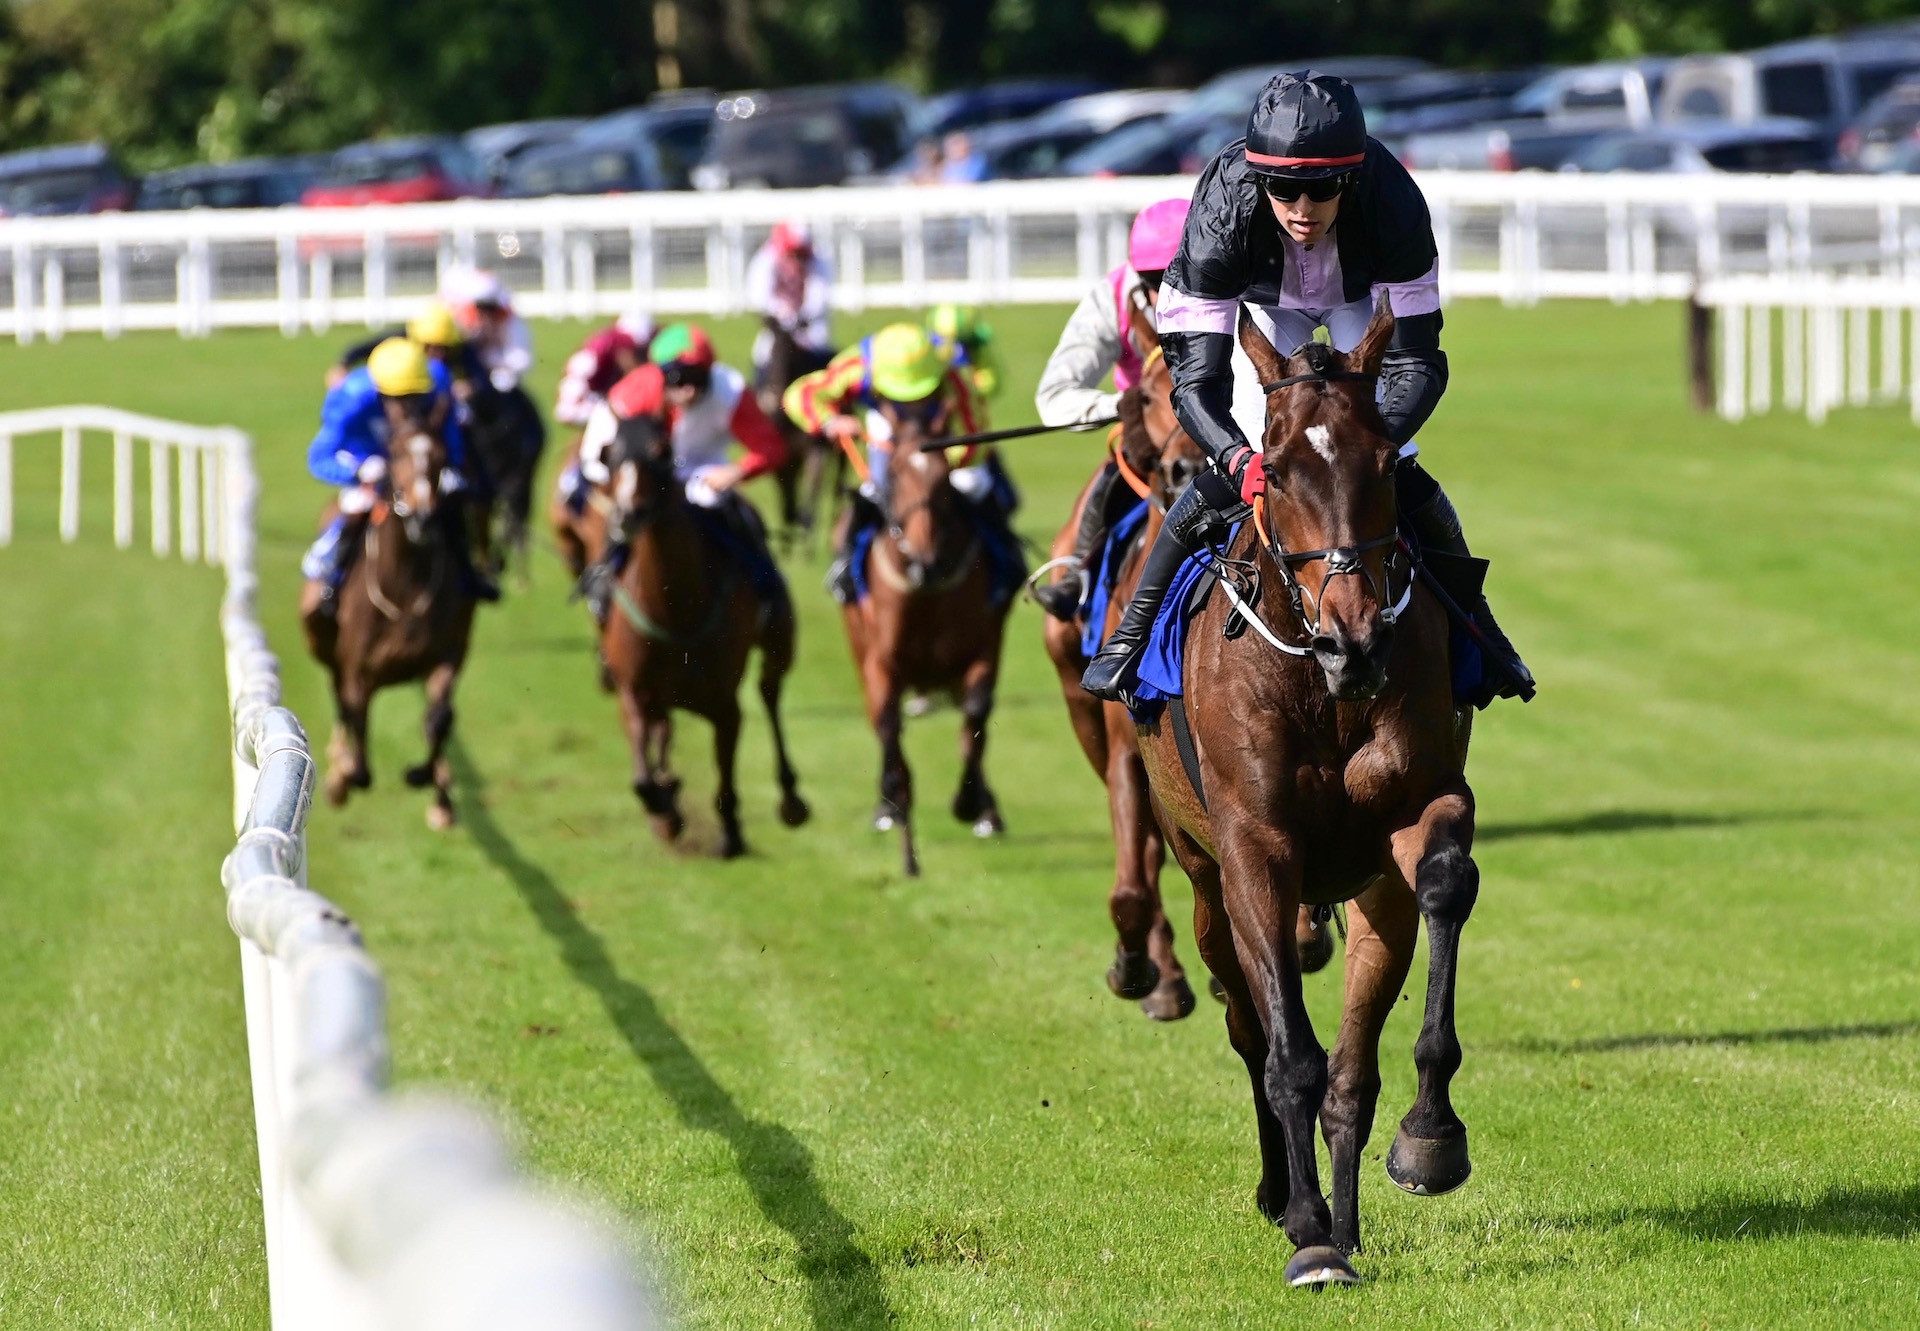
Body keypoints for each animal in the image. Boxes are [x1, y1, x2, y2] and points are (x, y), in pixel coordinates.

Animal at [303, 397, 480, 829]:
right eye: (395, 452)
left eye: (441, 456)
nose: (421, 515)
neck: (406, 587)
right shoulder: (358, 670)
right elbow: (358, 737)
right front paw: (344, 775)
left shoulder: (446, 656)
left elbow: (439, 718)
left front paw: (431, 785)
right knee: (340, 701)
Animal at [599, 411, 810, 856]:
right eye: (609, 455)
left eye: (662, 450)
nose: (627, 516)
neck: (674, 608)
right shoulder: (632, 690)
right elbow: (642, 778)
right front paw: (665, 809)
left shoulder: (724, 702)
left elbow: (726, 768)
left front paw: (730, 831)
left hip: (778, 643)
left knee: (770, 694)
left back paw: (791, 798)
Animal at [844, 411, 1013, 875]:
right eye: (896, 474)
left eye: (944, 479)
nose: (925, 563)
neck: (928, 593)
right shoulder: (882, 665)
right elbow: (889, 734)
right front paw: (905, 844)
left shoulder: (982, 651)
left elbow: (975, 720)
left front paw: (970, 802)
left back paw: (987, 809)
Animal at [1044, 297, 1344, 1014]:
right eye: (1147, 395)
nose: (1183, 468)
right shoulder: (1130, 752)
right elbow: (1134, 881)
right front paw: (1139, 968)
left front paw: (1301, 935)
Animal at [1136, 295, 1482, 1282]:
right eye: (1279, 470)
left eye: (1385, 464)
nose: (1353, 640)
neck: (1321, 689)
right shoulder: (1257, 848)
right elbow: (1287, 1052)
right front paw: (1309, 1232)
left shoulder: (1416, 811)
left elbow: (1445, 882)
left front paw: (1429, 1138)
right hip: (1200, 876)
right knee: (1250, 1029)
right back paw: (1286, 1196)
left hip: (1366, 894)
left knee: (1350, 1066)